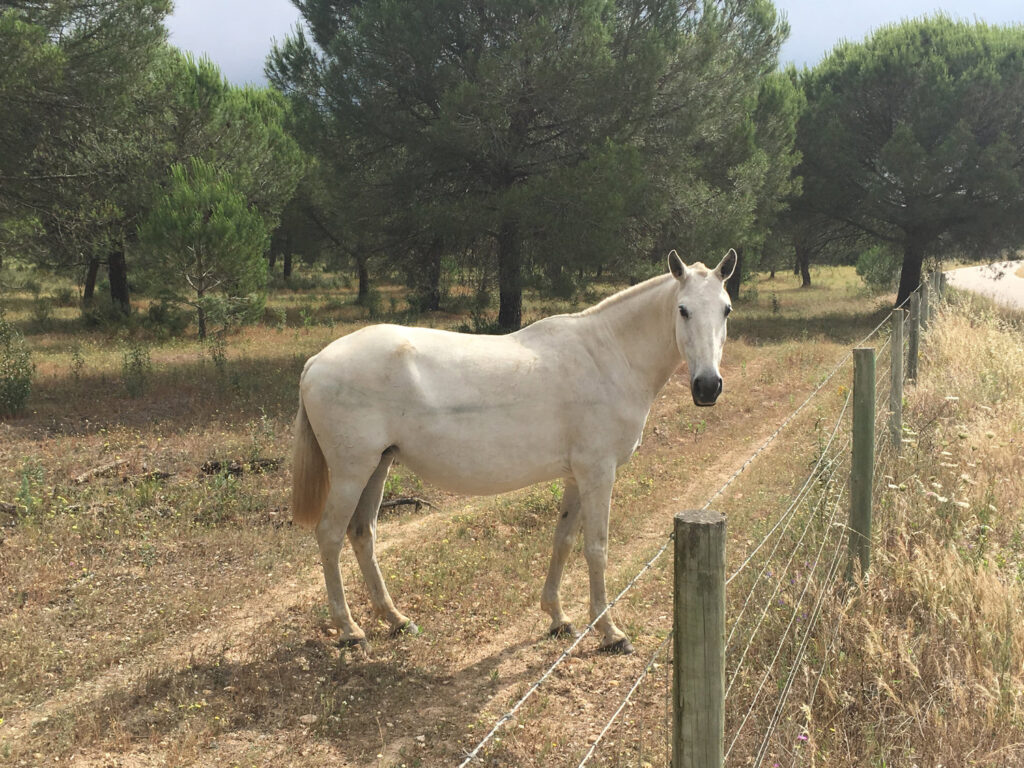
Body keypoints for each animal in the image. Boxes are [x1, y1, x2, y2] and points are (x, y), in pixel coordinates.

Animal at [291, 249, 737, 654]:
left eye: (726, 309)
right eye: (683, 310)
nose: (707, 386)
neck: (608, 356)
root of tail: (316, 362)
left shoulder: (576, 475)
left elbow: (563, 540)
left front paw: (557, 617)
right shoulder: (598, 472)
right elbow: (597, 549)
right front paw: (610, 632)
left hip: (378, 466)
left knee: (362, 534)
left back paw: (396, 620)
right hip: (352, 471)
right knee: (330, 536)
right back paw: (349, 629)